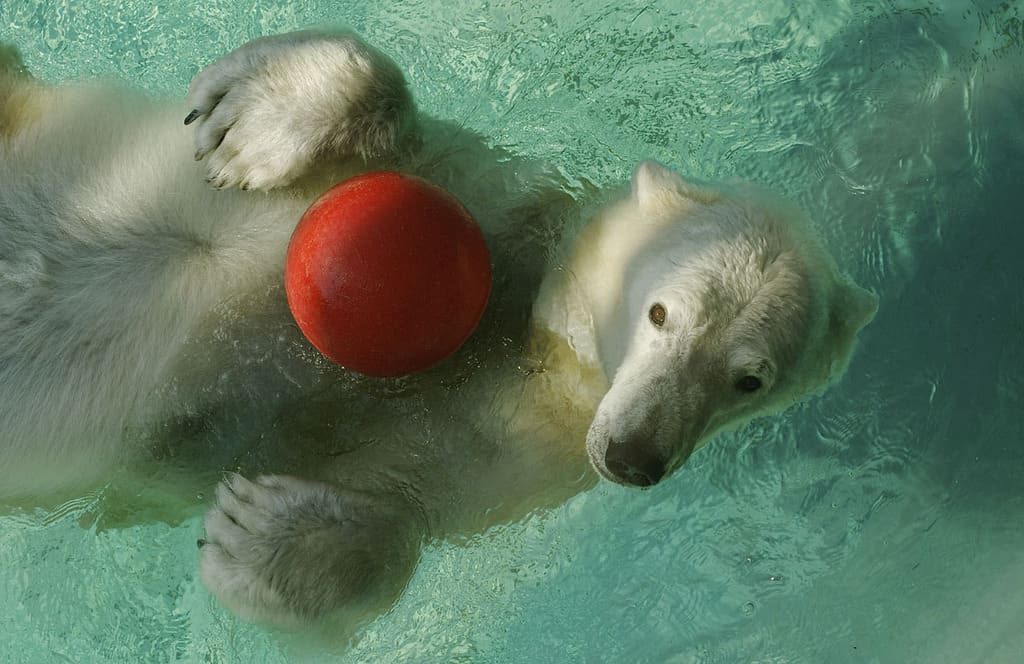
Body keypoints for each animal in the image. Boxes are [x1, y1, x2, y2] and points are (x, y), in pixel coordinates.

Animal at [0, 30, 877, 631]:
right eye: (664, 312)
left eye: (749, 379)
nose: (634, 457)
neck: (526, 326)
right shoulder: (483, 194)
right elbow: (389, 106)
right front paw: (249, 117)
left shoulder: (521, 448)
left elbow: (406, 515)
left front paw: (255, 532)